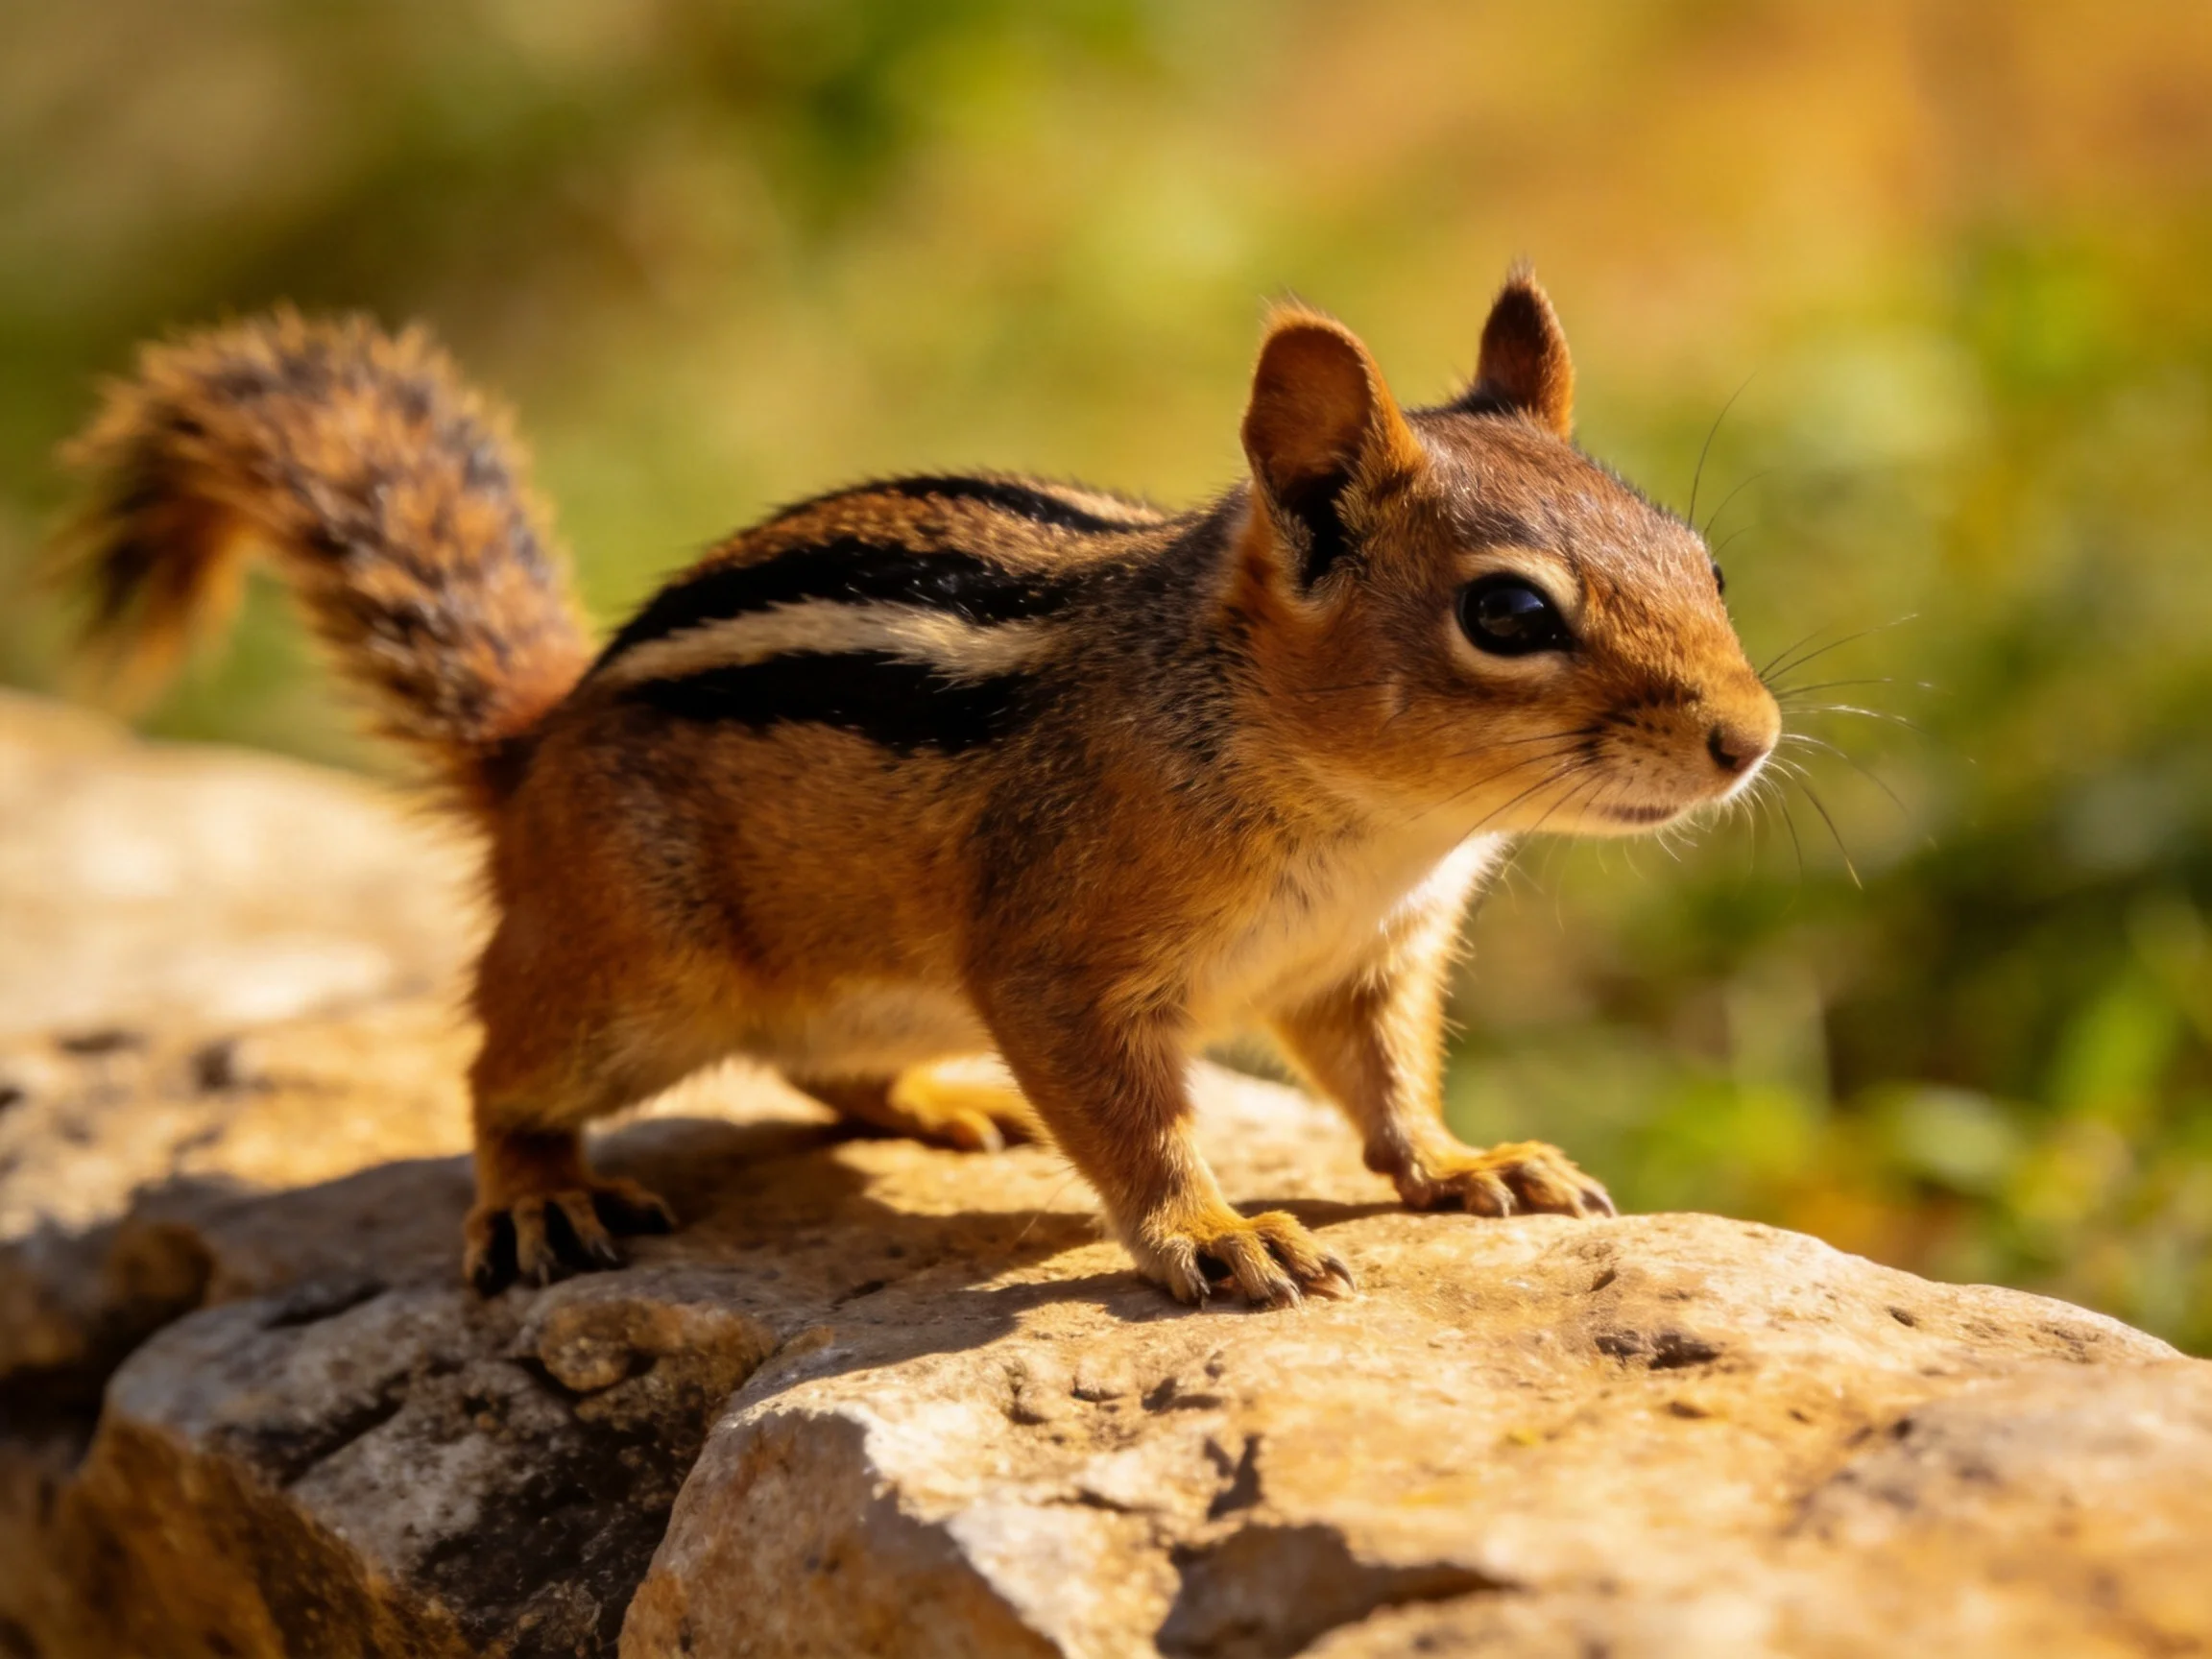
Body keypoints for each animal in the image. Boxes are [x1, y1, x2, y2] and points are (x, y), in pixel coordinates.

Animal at [56, 270, 1779, 1305]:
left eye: (1702, 560)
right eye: (1510, 615)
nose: (1748, 736)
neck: (1382, 824)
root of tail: (535, 744)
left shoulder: (1367, 962)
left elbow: (1387, 1092)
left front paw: (1471, 1163)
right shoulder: (1062, 961)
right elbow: (1138, 1129)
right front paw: (1218, 1236)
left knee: (822, 1068)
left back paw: (948, 1105)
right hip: (630, 976)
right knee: (500, 1069)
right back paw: (539, 1197)